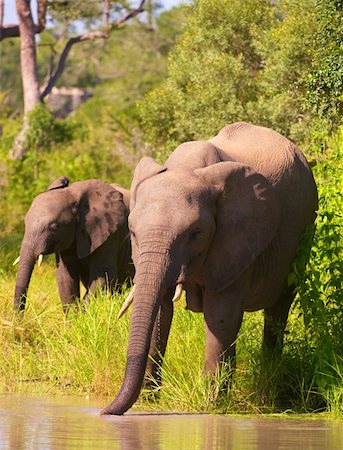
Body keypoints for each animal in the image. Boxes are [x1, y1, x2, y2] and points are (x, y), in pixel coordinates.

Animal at [12, 177, 133, 312]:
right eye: (25, 223)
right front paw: (74, 316)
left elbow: (104, 277)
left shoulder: (110, 235)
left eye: (54, 227)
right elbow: (65, 278)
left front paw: (82, 314)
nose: (18, 317)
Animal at [101, 122, 318, 414]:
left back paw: (266, 400)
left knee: (278, 310)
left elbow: (220, 316)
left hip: (303, 231)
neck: (187, 167)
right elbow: (160, 310)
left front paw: (211, 404)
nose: (103, 412)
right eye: (133, 232)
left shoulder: (238, 236)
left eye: (195, 234)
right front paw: (149, 399)